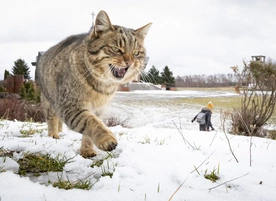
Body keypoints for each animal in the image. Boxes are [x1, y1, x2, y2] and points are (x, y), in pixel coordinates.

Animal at [37, 10, 152, 158]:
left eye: (136, 53)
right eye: (116, 49)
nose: (130, 62)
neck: (103, 85)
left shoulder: (98, 109)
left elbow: (90, 130)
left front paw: (87, 150)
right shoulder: (71, 106)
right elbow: (90, 122)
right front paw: (107, 139)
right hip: (49, 101)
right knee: (52, 118)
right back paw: (53, 135)